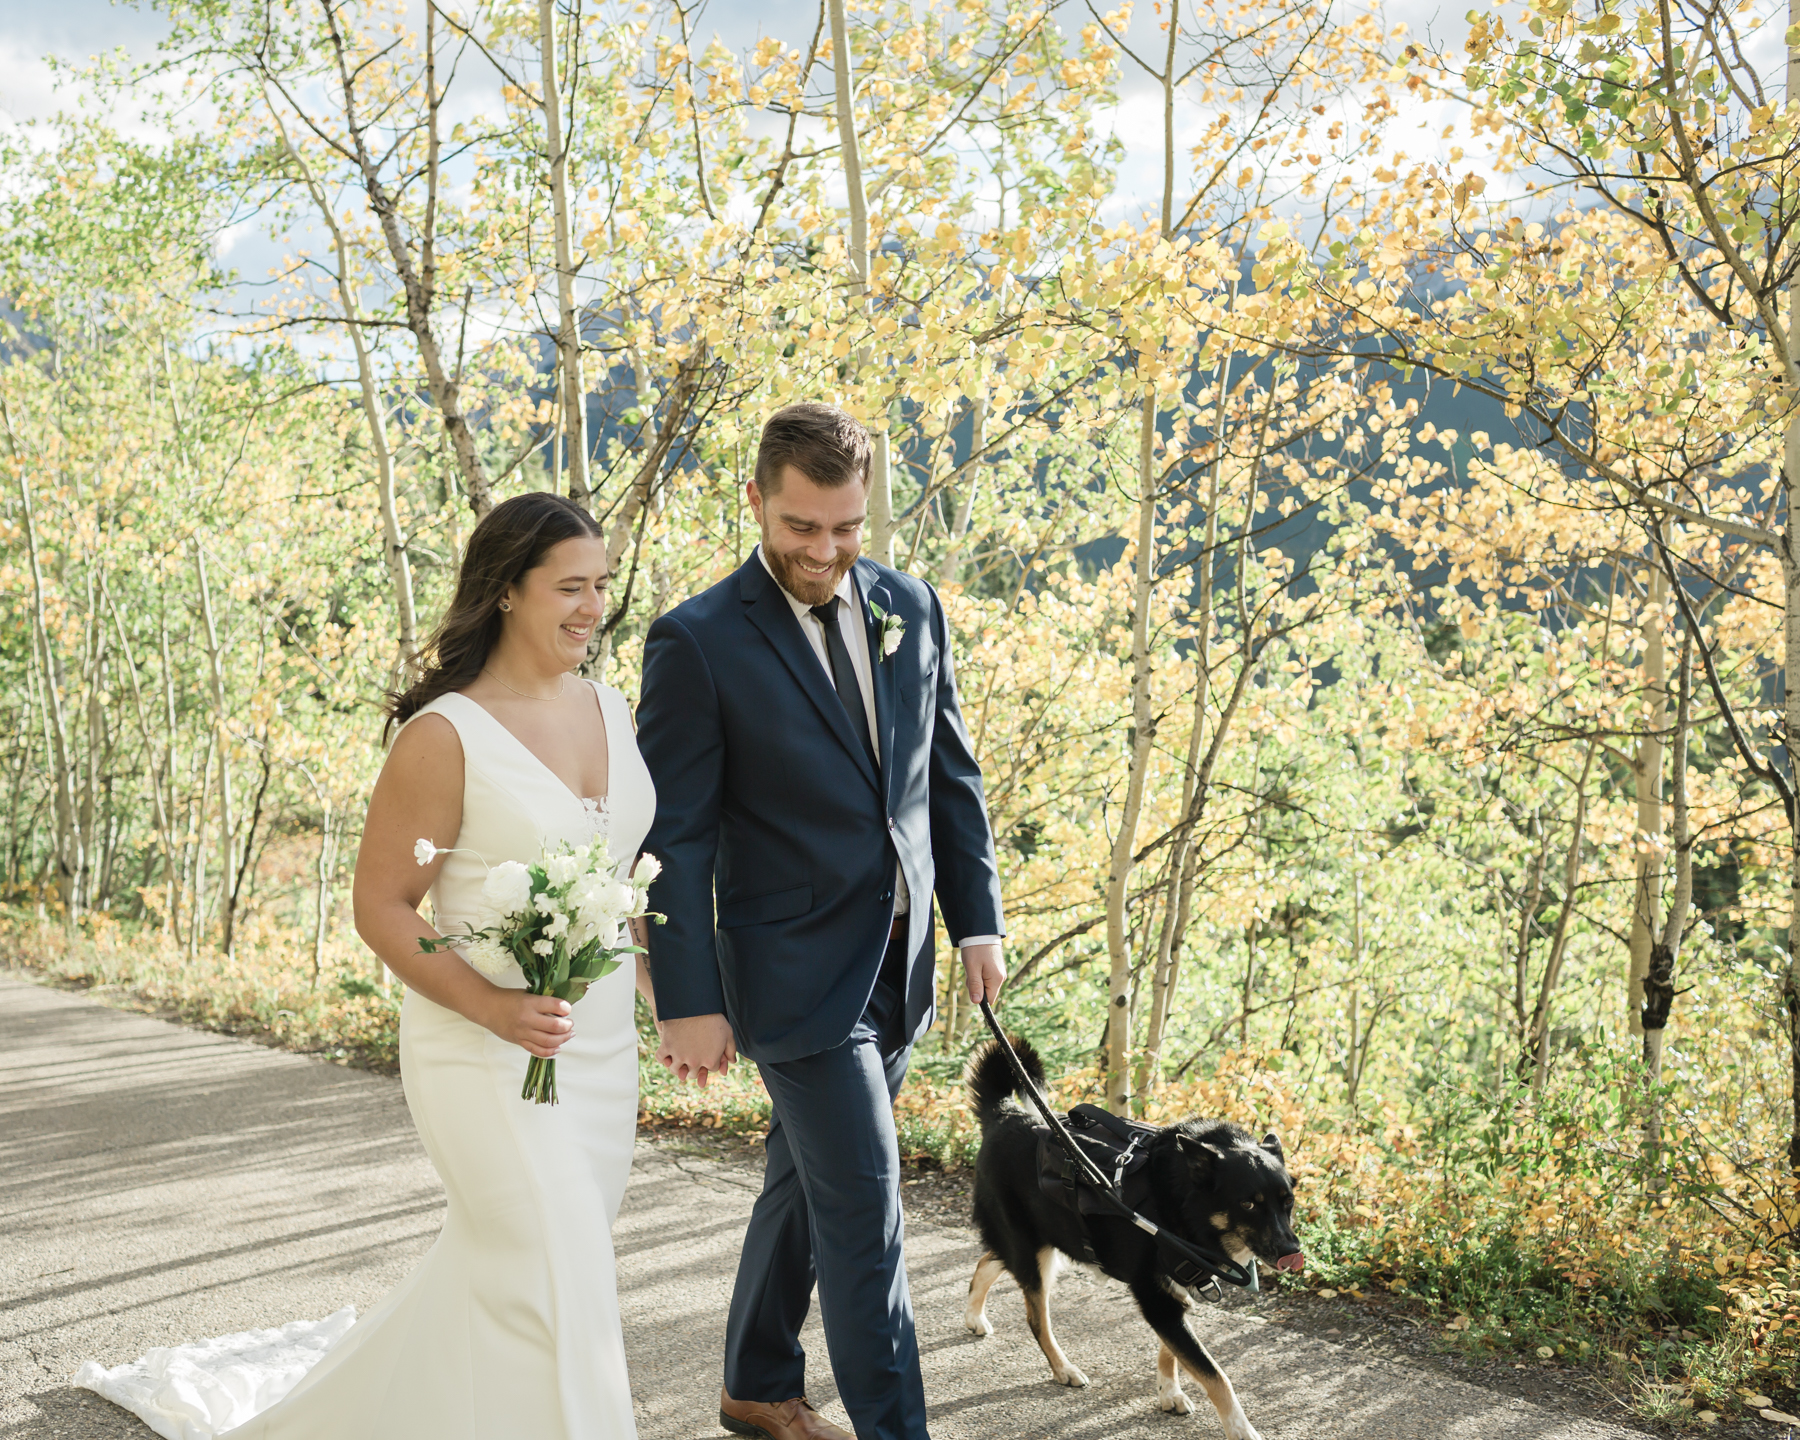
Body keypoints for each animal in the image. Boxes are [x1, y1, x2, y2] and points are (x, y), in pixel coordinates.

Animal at [964, 1036, 1303, 1425]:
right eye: (1248, 1204)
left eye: (1289, 1201)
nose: (1291, 1252)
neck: (1179, 1201)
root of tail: (1003, 1113)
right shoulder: (1157, 1299)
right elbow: (1217, 1378)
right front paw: (1241, 1429)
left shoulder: (1172, 1294)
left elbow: (1170, 1352)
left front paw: (1169, 1392)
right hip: (1033, 1250)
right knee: (1036, 1318)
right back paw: (1063, 1368)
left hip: (1038, 1242)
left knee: (988, 1261)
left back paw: (974, 1316)